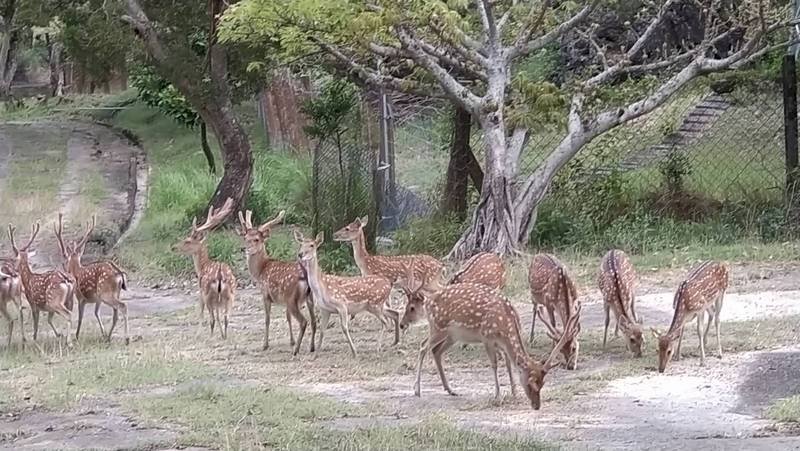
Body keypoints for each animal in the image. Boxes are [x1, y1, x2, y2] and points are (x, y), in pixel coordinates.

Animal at [54, 213, 129, 344]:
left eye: (65, 259)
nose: (64, 268)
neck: (77, 271)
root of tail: (118, 274)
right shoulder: (97, 299)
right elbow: (96, 313)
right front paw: (103, 333)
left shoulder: (80, 298)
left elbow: (80, 317)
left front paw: (77, 335)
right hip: (113, 292)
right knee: (115, 314)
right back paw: (109, 337)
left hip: (106, 292)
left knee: (122, 306)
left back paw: (127, 338)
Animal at [173, 198, 237, 339]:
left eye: (187, 241)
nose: (173, 247)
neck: (202, 267)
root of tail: (220, 275)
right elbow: (218, 315)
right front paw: (221, 334)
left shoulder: (200, 292)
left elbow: (201, 313)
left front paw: (198, 334)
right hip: (231, 294)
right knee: (225, 317)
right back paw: (224, 336)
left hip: (208, 293)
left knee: (212, 318)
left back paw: (211, 336)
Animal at [237, 209, 316, 355]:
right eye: (245, 238)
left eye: (257, 239)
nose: (245, 249)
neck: (261, 270)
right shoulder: (283, 300)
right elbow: (287, 317)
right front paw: (291, 341)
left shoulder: (266, 295)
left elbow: (267, 319)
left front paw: (265, 344)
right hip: (310, 298)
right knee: (314, 320)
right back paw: (311, 347)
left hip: (292, 299)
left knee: (304, 321)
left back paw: (296, 350)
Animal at [399, 262, 581, 410]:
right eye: (530, 384)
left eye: (543, 383)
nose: (536, 406)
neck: (506, 324)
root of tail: (428, 302)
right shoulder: (487, 337)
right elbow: (494, 364)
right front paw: (498, 395)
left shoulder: (501, 343)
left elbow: (508, 363)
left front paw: (514, 392)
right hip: (438, 327)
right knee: (423, 346)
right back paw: (417, 390)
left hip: (452, 335)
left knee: (436, 351)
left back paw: (450, 389)